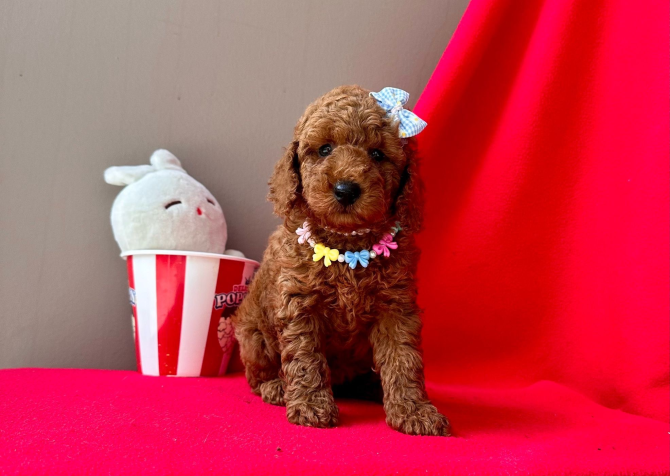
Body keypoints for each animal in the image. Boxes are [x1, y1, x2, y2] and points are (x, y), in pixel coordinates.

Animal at [235, 84, 452, 436]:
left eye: (377, 154)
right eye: (324, 149)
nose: (346, 190)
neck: (348, 245)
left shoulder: (396, 308)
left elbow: (403, 359)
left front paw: (415, 410)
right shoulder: (300, 304)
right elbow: (306, 358)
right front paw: (311, 405)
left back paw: (372, 387)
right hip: (253, 334)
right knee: (257, 373)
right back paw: (276, 387)